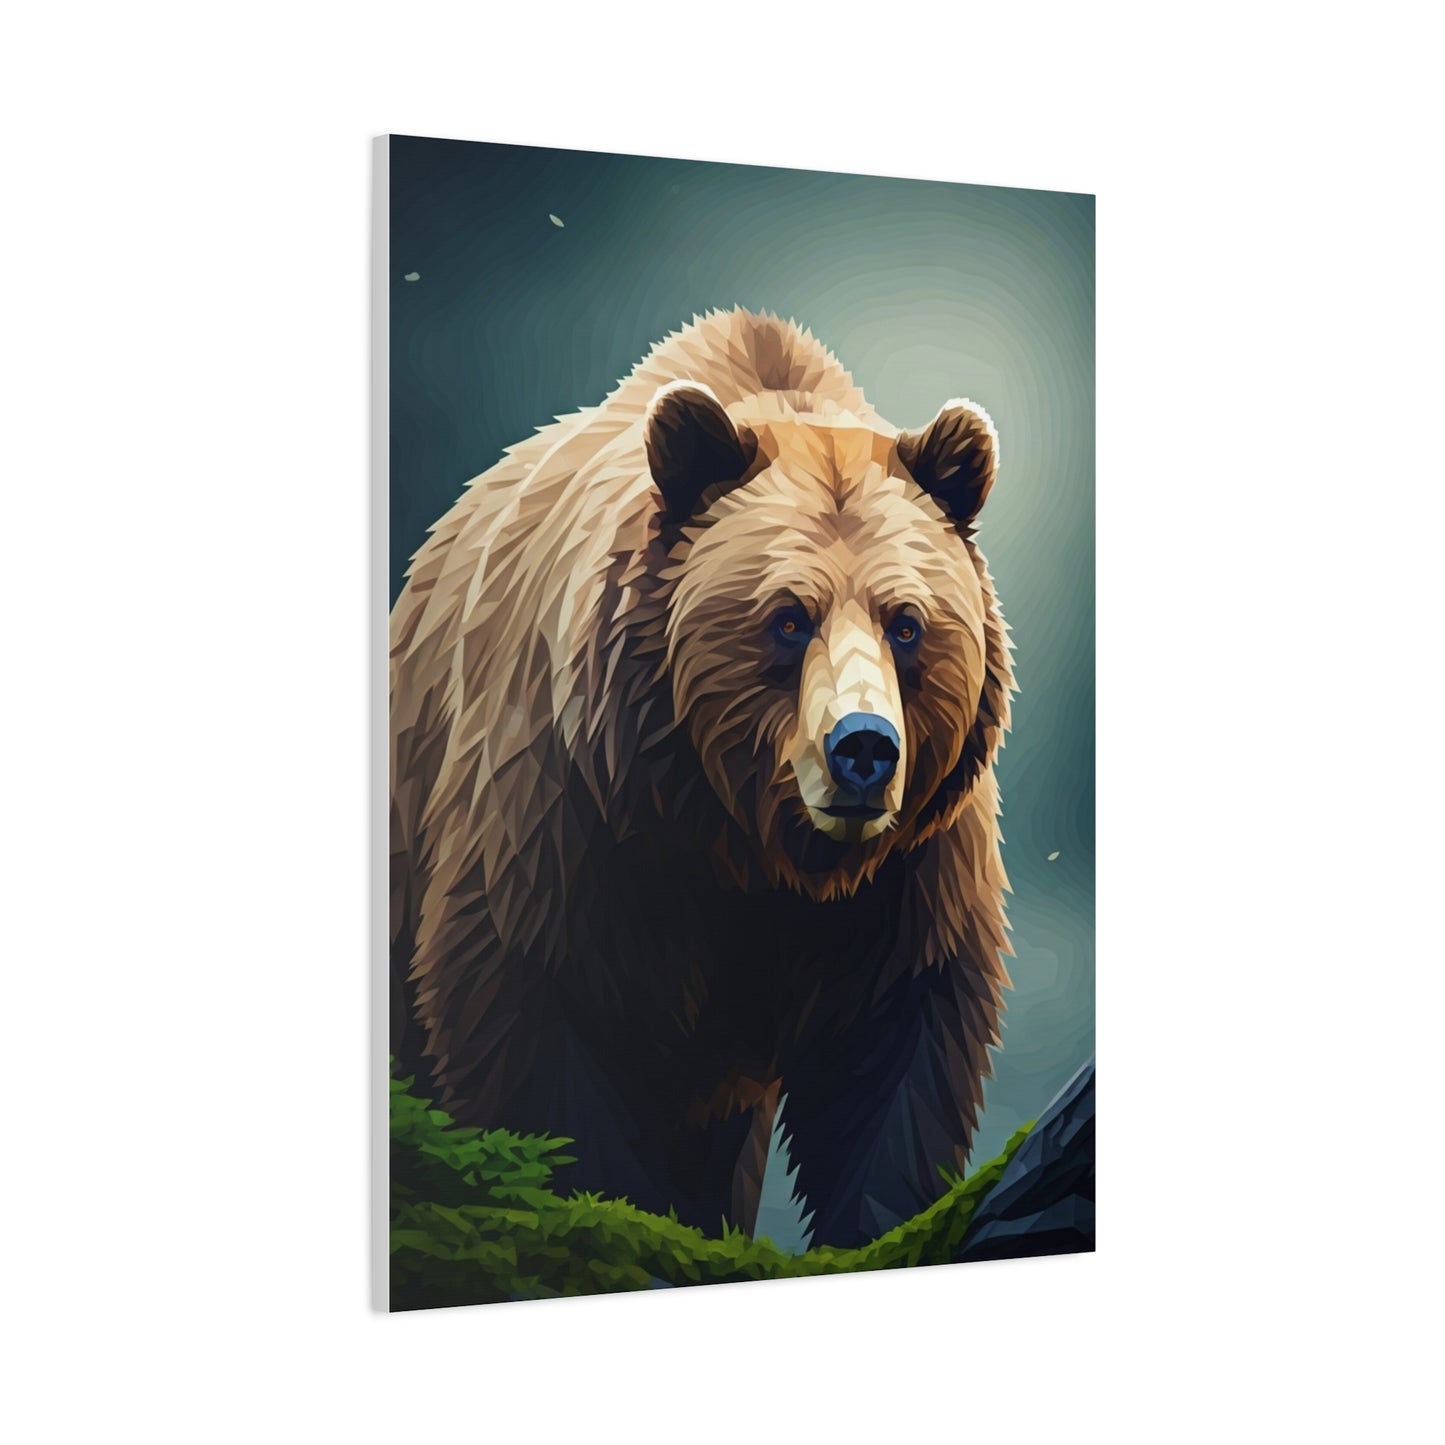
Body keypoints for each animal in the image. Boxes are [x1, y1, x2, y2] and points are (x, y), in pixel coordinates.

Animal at [390, 308, 1014, 1248]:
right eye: (787, 617)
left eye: (906, 623)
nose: (863, 748)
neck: (745, 841)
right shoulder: (571, 815)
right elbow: (535, 1021)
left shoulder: (912, 867)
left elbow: (897, 1056)